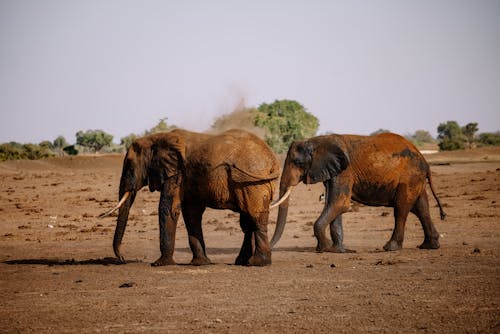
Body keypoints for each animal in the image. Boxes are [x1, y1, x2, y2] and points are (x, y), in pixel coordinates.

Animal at [97, 128, 278, 266]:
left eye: (129, 167)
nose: (122, 259)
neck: (157, 139)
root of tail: (272, 160)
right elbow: (191, 214)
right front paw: (200, 263)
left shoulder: (176, 173)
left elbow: (167, 208)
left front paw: (160, 264)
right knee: (247, 220)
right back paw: (242, 262)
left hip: (251, 183)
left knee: (255, 217)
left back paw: (257, 263)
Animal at [270, 132, 450, 252]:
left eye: (297, 162)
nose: (270, 248)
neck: (317, 141)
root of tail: (425, 161)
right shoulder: (334, 171)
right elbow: (334, 205)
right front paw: (338, 250)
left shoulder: (345, 171)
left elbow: (339, 203)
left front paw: (324, 248)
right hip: (415, 178)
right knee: (421, 207)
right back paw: (429, 246)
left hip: (409, 177)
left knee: (401, 208)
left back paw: (390, 248)